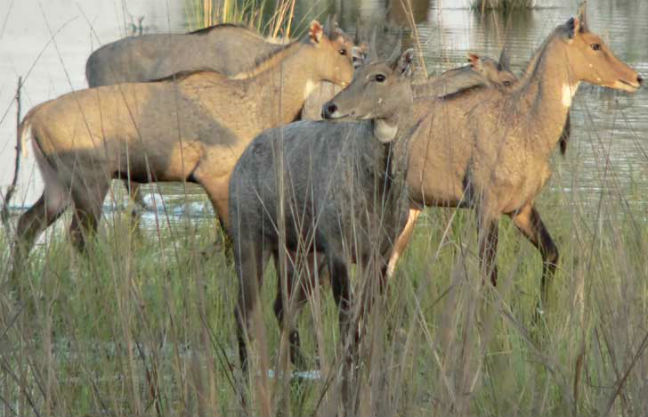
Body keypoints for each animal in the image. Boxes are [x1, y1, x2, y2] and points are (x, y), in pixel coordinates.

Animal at [11, 21, 354, 270]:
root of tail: (33, 117)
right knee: (78, 237)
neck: (255, 102)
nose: (344, 94)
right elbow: (229, 236)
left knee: (27, 225)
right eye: (342, 50)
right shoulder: (215, 174)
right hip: (88, 182)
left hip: (58, 183)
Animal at [402, 8, 640, 304]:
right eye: (595, 45)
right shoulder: (486, 208)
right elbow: (489, 275)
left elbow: (551, 254)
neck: (524, 124)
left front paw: (541, 313)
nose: (637, 78)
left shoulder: (521, 208)